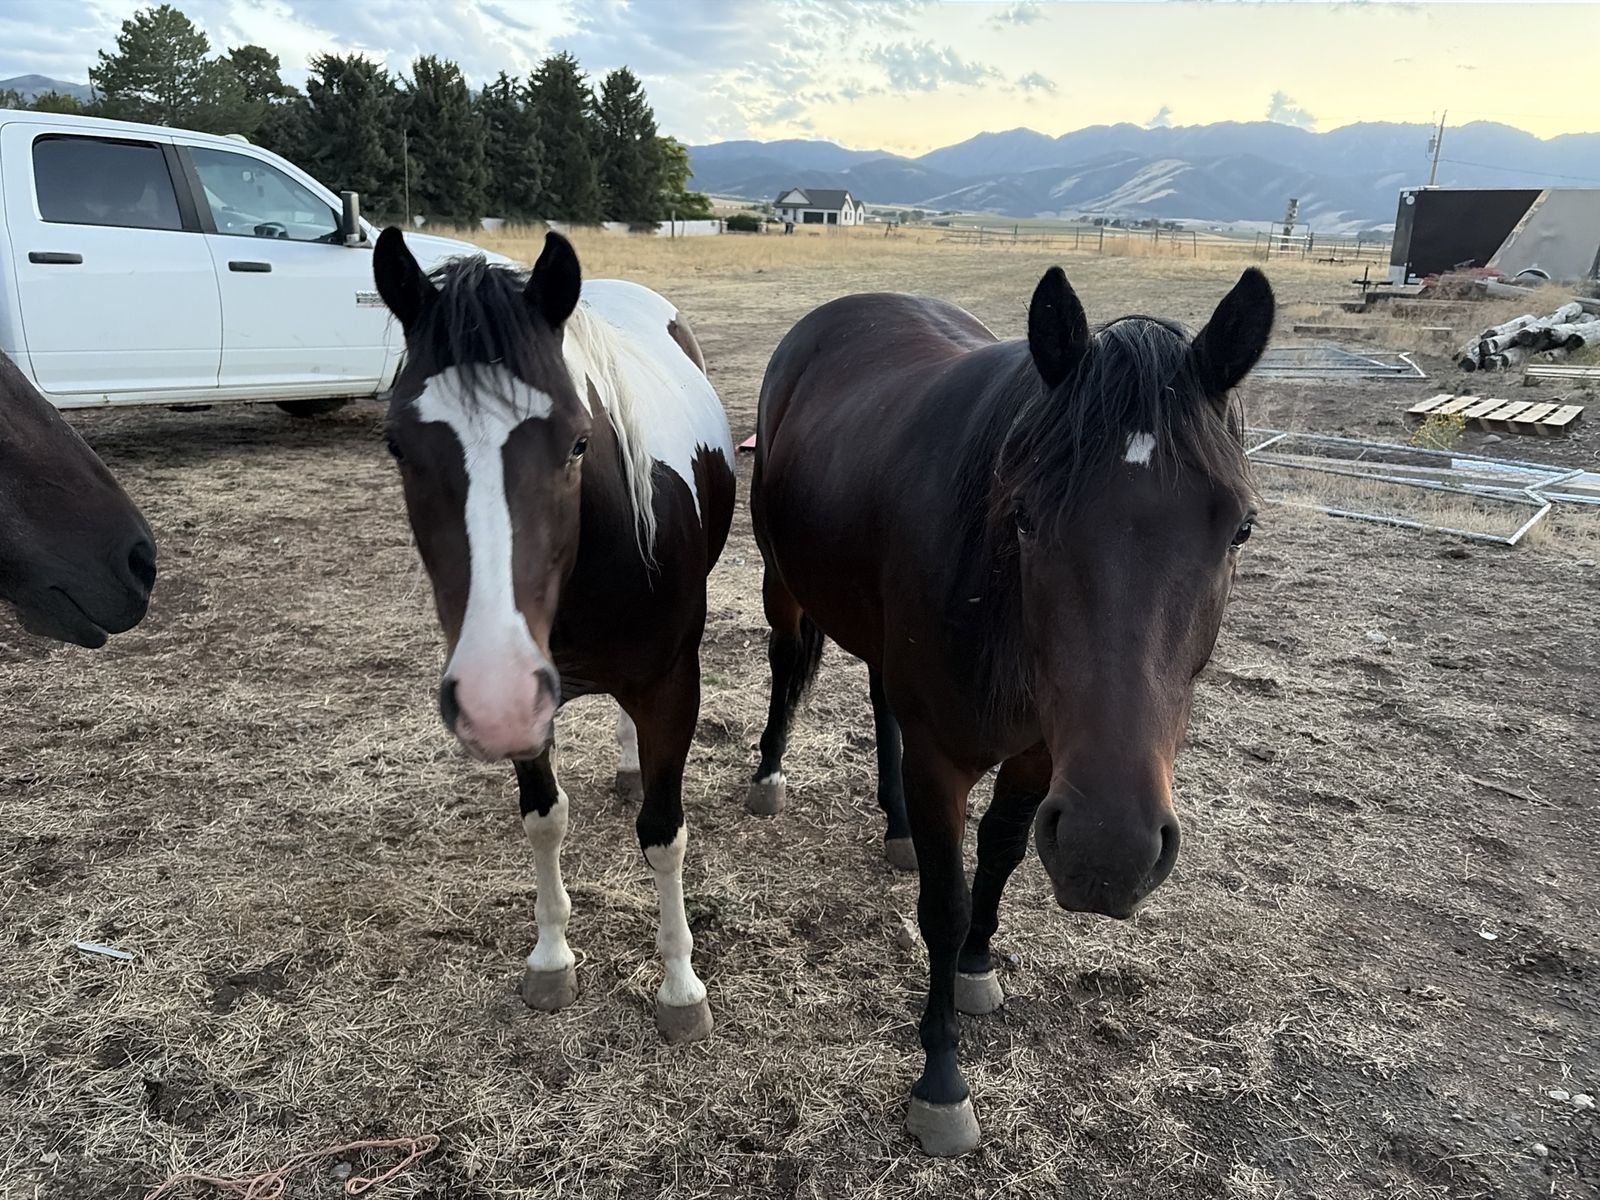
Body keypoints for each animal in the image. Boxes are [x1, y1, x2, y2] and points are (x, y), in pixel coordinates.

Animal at [372, 228, 735, 1042]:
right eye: (397, 446)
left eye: (576, 442)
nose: (493, 697)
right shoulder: (529, 698)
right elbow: (544, 820)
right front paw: (550, 958)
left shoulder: (672, 685)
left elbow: (664, 832)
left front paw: (680, 986)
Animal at [746, 265, 1273, 1154]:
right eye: (1023, 516)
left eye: (1239, 529)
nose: (1110, 851)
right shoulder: (942, 759)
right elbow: (945, 903)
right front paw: (941, 1080)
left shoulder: (1040, 756)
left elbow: (999, 855)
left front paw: (978, 966)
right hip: (783, 582)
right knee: (789, 667)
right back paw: (769, 775)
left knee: (881, 696)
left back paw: (893, 826)